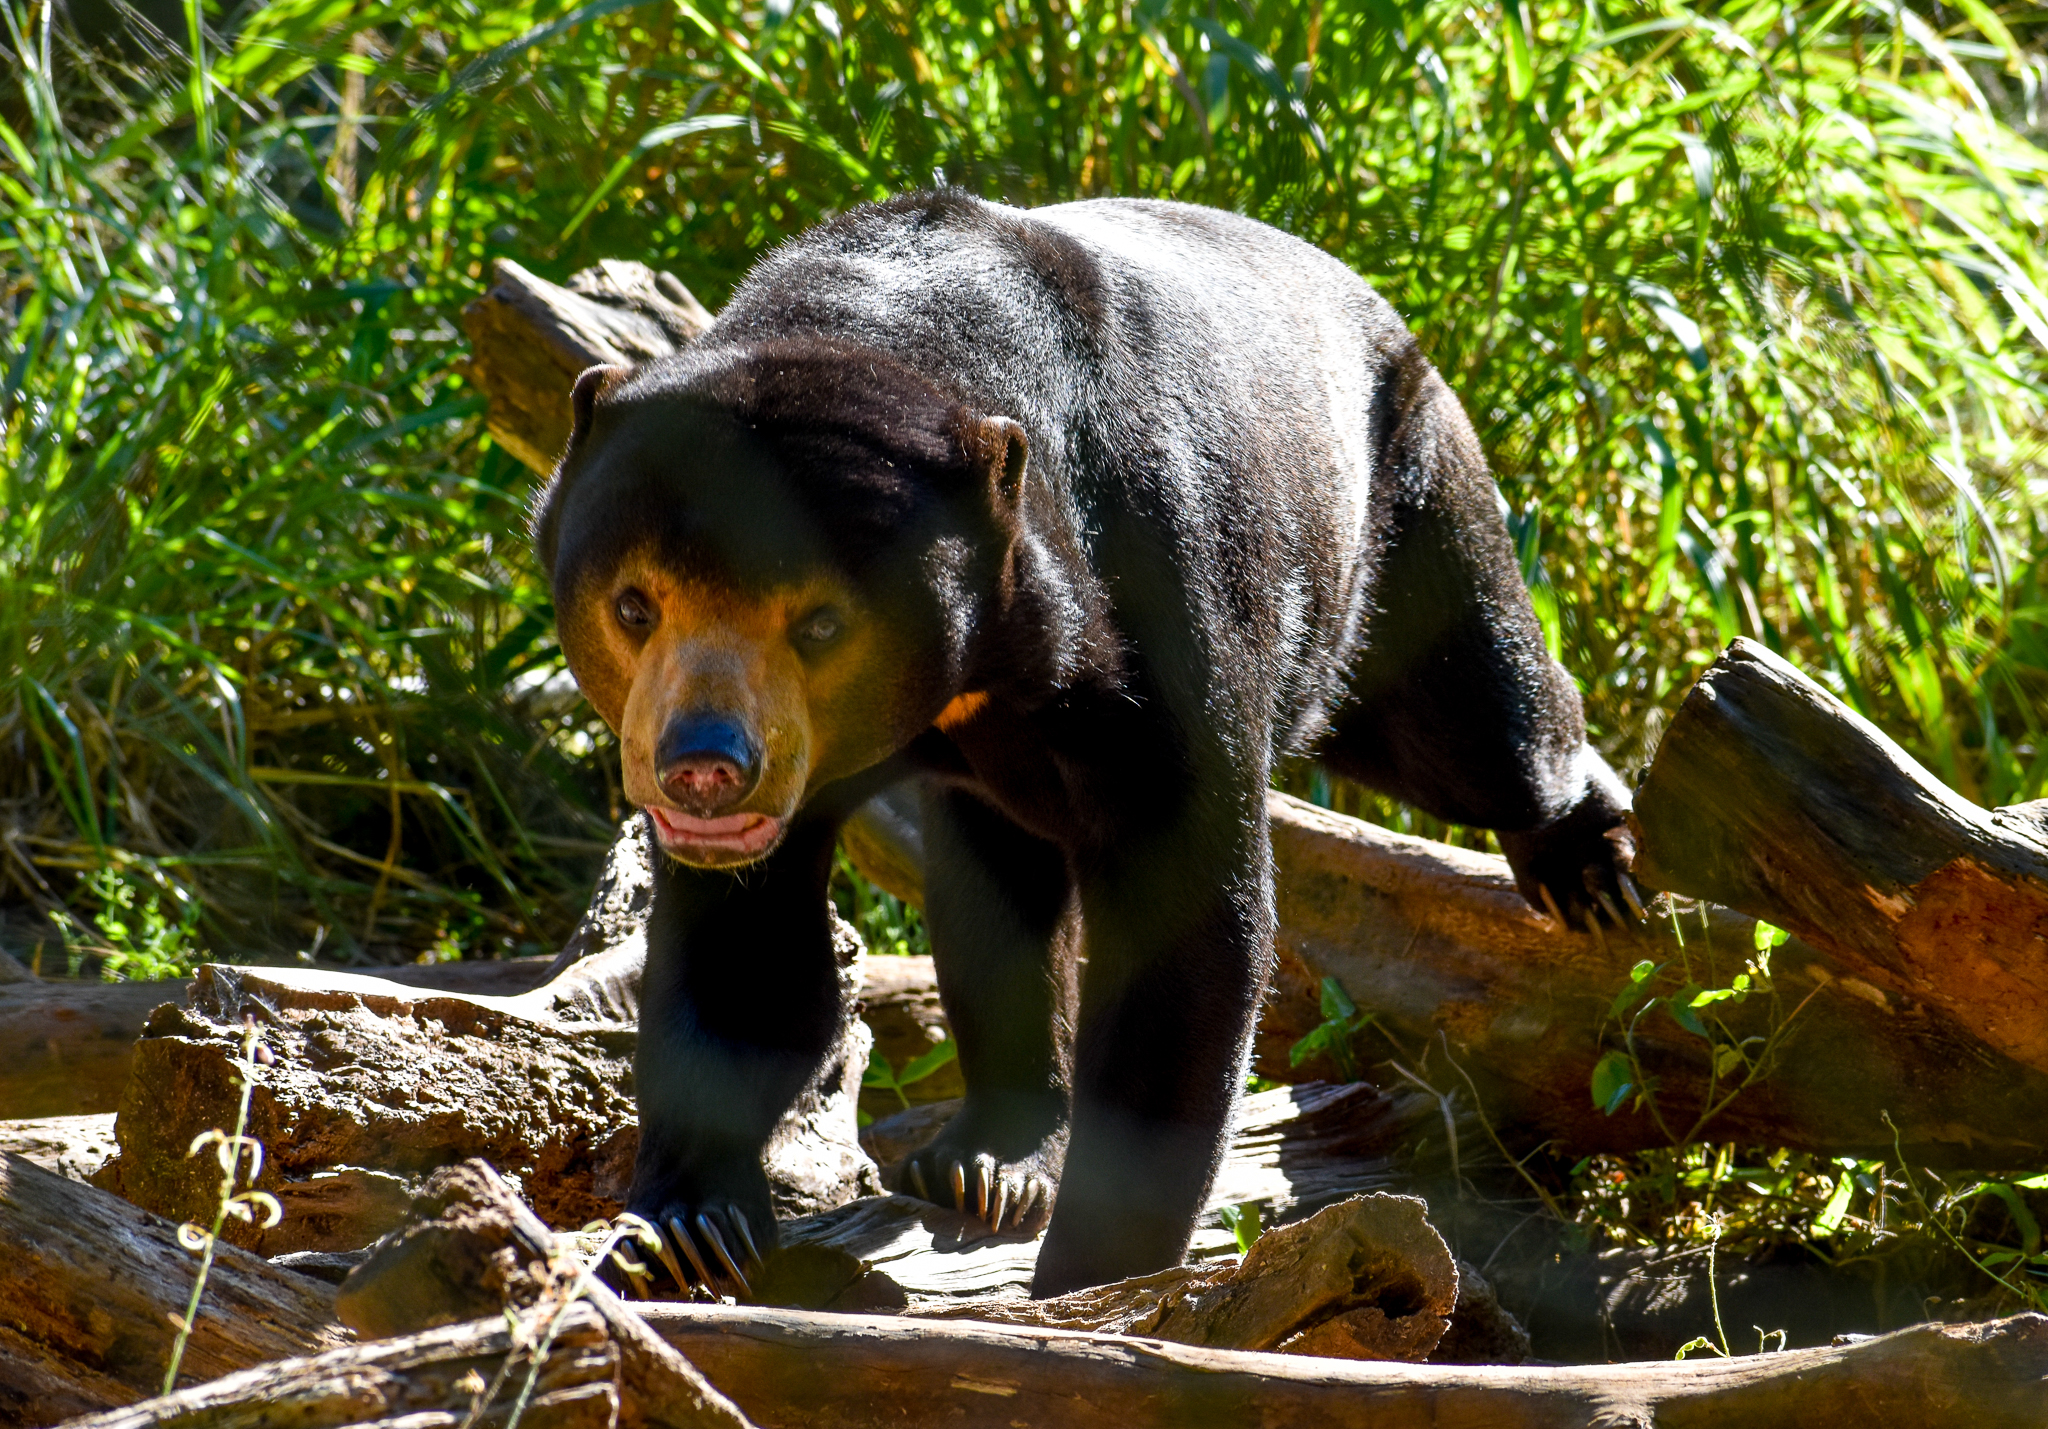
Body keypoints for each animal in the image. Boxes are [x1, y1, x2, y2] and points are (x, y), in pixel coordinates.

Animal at [531, 191, 1636, 1299]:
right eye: (634, 605)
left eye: (820, 625)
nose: (704, 767)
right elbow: (748, 948)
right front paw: (685, 1227)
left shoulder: (1154, 593)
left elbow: (1187, 931)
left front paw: (1089, 1280)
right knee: (994, 894)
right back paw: (990, 1160)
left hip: (1398, 504)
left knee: (1477, 718)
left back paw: (1592, 869)